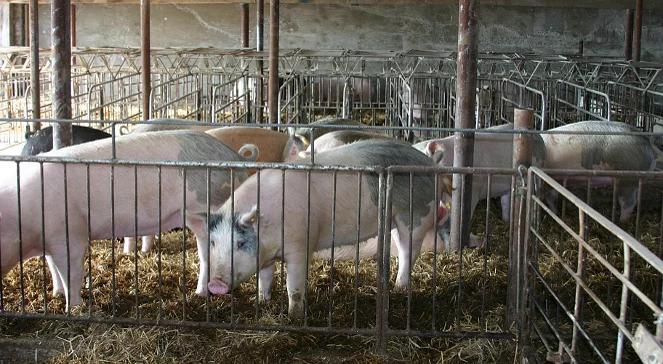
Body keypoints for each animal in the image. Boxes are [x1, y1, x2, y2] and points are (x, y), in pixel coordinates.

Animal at [0, 131, 255, 308]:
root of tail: (235, 157)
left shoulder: (71, 234)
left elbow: (71, 272)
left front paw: (73, 308)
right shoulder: (50, 239)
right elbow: (53, 268)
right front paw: (56, 294)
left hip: (210, 209)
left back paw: (201, 294)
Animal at [205, 139, 438, 316]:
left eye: (240, 243)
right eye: (213, 242)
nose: (215, 283)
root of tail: (427, 161)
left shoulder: (300, 246)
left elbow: (294, 286)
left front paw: (294, 316)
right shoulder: (265, 255)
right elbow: (264, 277)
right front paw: (262, 301)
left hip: (416, 213)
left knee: (410, 251)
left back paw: (400, 288)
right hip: (394, 221)